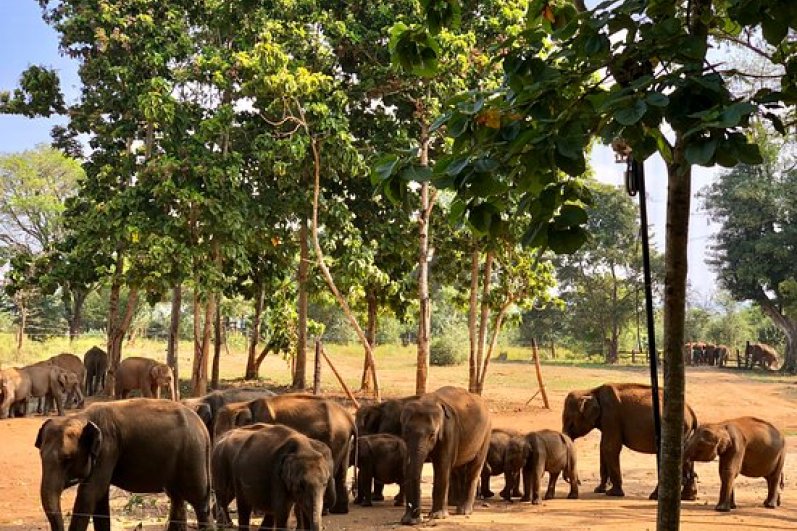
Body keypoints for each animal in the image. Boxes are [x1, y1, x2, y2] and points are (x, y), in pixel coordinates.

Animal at [35, 398, 211, 531]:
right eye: (41, 456)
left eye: (67, 459)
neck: (82, 416)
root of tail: (204, 429)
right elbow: (100, 499)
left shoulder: (108, 449)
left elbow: (89, 494)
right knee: (177, 498)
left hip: (192, 454)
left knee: (199, 501)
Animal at [214, 393, 355, 514]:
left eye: (221, 433)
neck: (244, 404)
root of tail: (349, 418)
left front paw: (259, 511)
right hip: (344, 440)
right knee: (341, 471)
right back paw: (339, 511)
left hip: (336, 437)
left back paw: (325, 511)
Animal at [400, 386, 492, 525]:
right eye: (405, 432)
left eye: (432, 434)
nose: (416, 518)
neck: (427, 399)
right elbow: (407, 466)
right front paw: (407, 520)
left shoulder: (449, 431)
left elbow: (442, 465)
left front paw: (438, 516)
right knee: (457, 468)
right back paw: (455, 504)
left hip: (485, 434)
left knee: (474, 467)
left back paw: (464, 511)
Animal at [562, 382, 698, 499]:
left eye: (570, 423)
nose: (579, 482)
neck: (591, 391)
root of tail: (691, 411)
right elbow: (603, 448)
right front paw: (599, 490)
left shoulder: (611, 415)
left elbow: (609, 447)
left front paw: (613, 493)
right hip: (684, 434)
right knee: (687, 458)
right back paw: (688, 497)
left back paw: (655, 496)